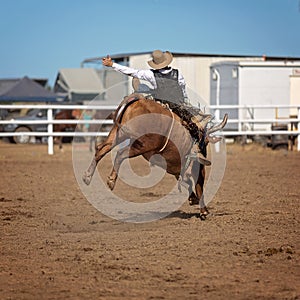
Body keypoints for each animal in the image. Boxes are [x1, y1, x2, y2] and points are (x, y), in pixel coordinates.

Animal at [82, 94, 227, 220]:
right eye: (205, 142)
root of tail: (138, 101)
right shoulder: (191, 166)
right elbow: (197, 184)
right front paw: (203, 210)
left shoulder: (176, 168)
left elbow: (187, 182)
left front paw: (194, 200)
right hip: (142, 144)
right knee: (120, 154)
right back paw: (111, 181)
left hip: (117, 134)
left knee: (101, 149)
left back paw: (87, 176)